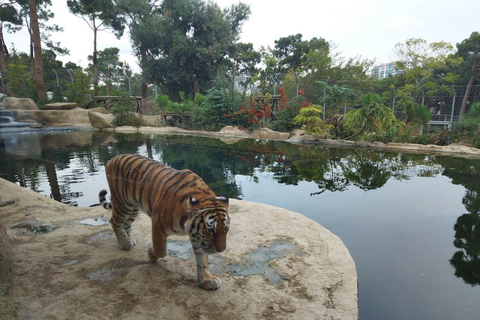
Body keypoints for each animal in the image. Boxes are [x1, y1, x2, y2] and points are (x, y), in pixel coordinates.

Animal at [98, 153, 230, 290]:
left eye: (226, 228)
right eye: (210, 230)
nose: (221, 249)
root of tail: (112, 159)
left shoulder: (198, 236)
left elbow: (202, 259)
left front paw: (207, 280)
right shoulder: (157, 224)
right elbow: (160, 251)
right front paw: (150, 254)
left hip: (133, 208)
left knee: (126, 224)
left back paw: (128, 239)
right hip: (123, 203)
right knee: (115, 221)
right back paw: (125, 243)